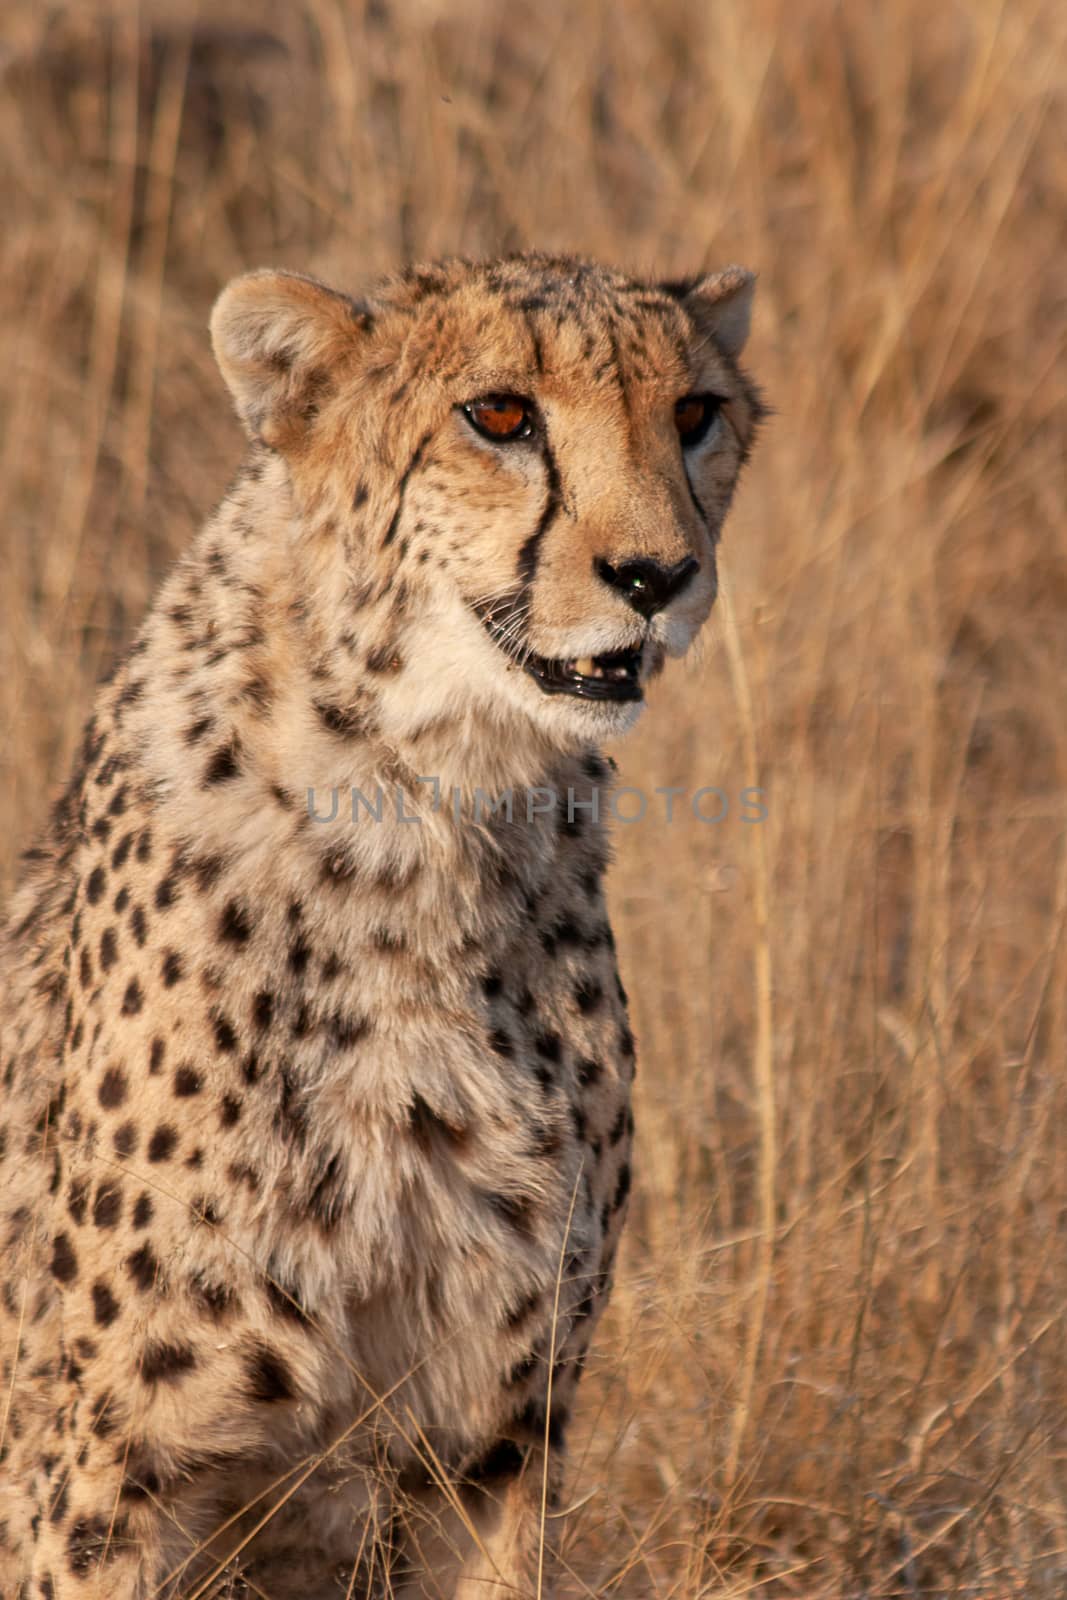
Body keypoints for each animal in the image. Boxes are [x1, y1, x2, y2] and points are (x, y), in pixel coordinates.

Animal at [4, 256, 764, 1593]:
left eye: (692, 414)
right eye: (500, 416)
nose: (655, 576)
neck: (430, 812)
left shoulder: (492, 1432)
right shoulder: (103, 1466)